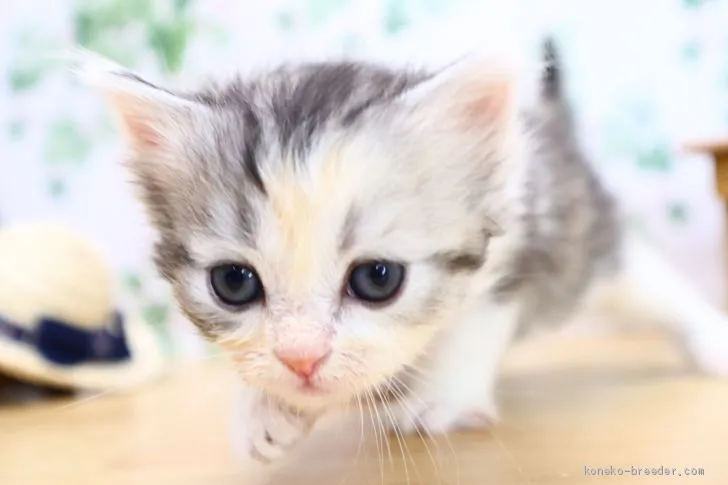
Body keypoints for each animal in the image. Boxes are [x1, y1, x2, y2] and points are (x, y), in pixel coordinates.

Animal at [77, 37, 728, 466]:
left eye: (378, 279)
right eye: (233, 283)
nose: (301, 360)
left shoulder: (526, 233)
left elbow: (477, 319)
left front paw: (440, 397)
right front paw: (265, 407)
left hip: (587, 238)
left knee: (650, 282)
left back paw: (707, 341)